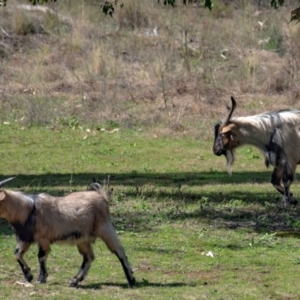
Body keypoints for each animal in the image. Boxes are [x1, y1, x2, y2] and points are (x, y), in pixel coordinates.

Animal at [0, 177, 135, 288]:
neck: (28, 209)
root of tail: (102, 196)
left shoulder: (43, 238)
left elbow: (41, 256)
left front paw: (40, 278)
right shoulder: (26, 238)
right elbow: (17, 252)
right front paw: (29, 276)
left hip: (105, 228)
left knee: (119, 251)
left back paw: (131, 280)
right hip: (83, 239)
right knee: (89, 257)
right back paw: (74, 281)